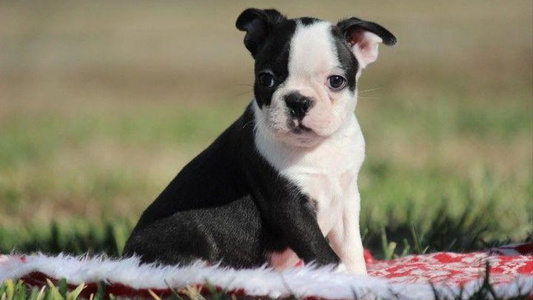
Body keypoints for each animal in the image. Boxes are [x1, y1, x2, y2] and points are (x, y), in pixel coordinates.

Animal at [122, 7, 392, 274]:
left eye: (336, 81)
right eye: (266, 79)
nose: (298, 101)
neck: (316, 148)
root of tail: (126, 254)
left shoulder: (347, 197)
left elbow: (351, 248)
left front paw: (359, 279)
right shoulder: (289, 206)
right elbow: (326, 256)